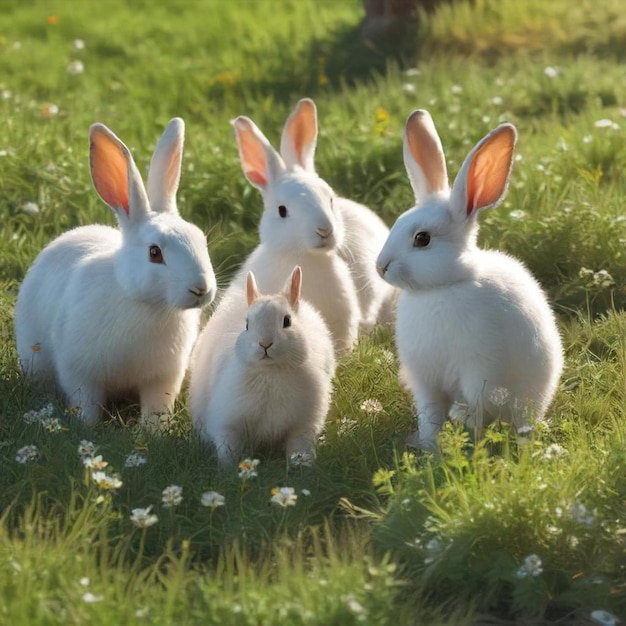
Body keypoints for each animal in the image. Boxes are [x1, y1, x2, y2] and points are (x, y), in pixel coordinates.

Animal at [14, 118, 217, 424]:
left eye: (201, 239)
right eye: (154, 253)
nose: (201, 288)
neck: (148, 306)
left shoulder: (163, 379)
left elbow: (157, 407)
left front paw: (155, 430)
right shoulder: (80, 372)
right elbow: (86, 401)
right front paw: (87, 426)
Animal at [189, 264, 336, 464]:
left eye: (287, 321)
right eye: (247, 324)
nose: (265, 343)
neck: (270, 372)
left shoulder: (302, 427)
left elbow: (299, 447)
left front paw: (303, 465)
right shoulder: (228, 425)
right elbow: (228, 448)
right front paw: (229, 468)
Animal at [378, 108, 564, 448]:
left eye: (422, 239)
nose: (380, 266)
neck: (443, 286)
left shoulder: (479, 373)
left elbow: (475, 414)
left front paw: (469, 446)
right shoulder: (424, 379)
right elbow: (429, 416)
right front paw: (429, 447)